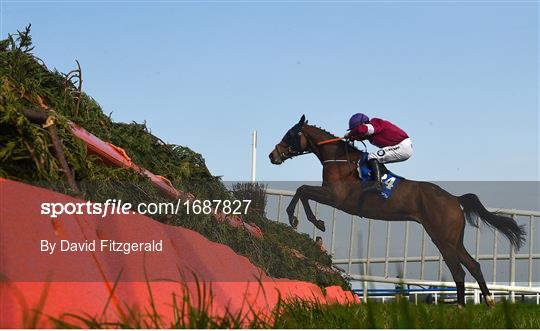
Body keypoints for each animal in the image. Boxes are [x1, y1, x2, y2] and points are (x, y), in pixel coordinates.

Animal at [268, 115, 524, 308]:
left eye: (290, 134)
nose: (273, 155)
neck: (340, 160)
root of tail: (454, 199)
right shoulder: (331, 195)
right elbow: (302, 191)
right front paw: (309, 220)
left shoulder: (336, 197)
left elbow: (302, 190)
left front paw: (303, 219)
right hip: (452, 238)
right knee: (473, 265)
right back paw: (488, 301)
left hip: (443, 238)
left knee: (458, 271)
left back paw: (461, 307)